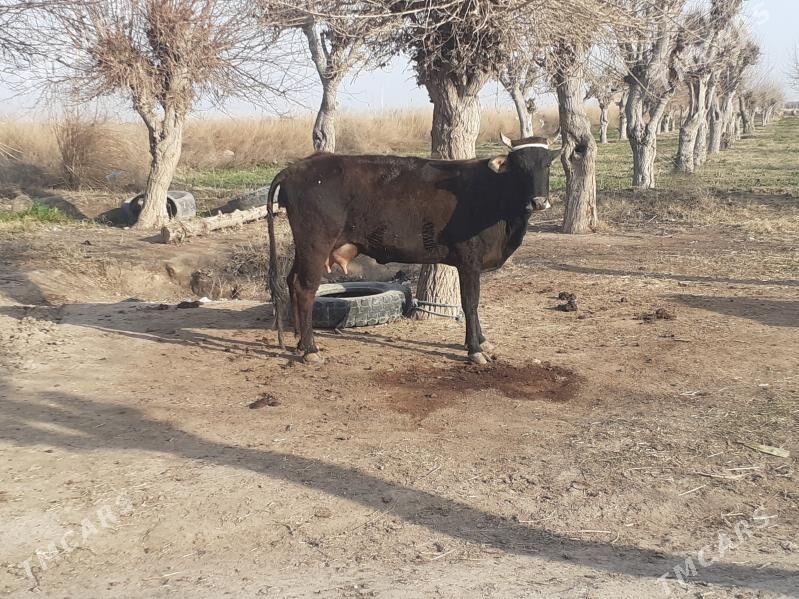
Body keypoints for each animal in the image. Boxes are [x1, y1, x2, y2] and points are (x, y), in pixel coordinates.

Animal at [266, 134, 560, 364]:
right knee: (305, 288)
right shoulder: (469, 261)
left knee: (292, 280)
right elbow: (470, 303)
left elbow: (472, 304)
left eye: (546, 163)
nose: (538, 202)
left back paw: (299, 342)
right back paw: (311, 350)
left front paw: (481, 341)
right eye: (519, 167)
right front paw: (475, 349)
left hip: (305, 247)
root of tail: (299, 166)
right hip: (316, 243)